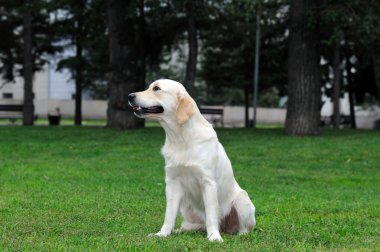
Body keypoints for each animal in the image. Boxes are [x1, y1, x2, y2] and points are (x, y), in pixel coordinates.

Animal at [127, 79, 255, 241]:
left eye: (156, 88)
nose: (130, 96)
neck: (181, 138)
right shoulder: (172, 182)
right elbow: (169, 215)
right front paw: (162, 234)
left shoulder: (208, 183)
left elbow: (211, 215)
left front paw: (214, 237)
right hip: (186, 207)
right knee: (190, 227)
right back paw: (177, 231)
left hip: (242, 200)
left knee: (243, 228)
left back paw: (240, 234)